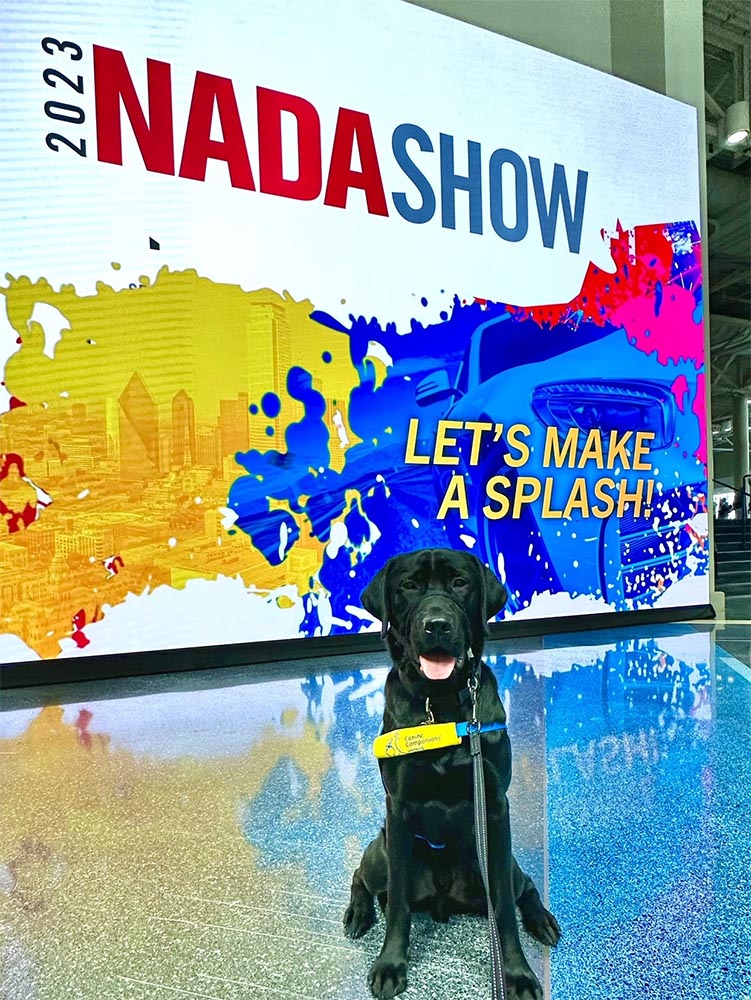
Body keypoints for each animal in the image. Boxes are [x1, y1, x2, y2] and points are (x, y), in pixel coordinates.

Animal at [344, 552, 560, 996]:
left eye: (461, 583)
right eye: (408, 586)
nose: (438, 625)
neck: (440, 704)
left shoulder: (494, 807)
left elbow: (504, 911)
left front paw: (517, 973)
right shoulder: (399, 808)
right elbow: (399, 906)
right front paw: (390, 964)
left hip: (500, 859)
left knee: (525, 884)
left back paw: (541, 919)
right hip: (381, 851)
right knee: (363, 876)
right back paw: (359, 913)